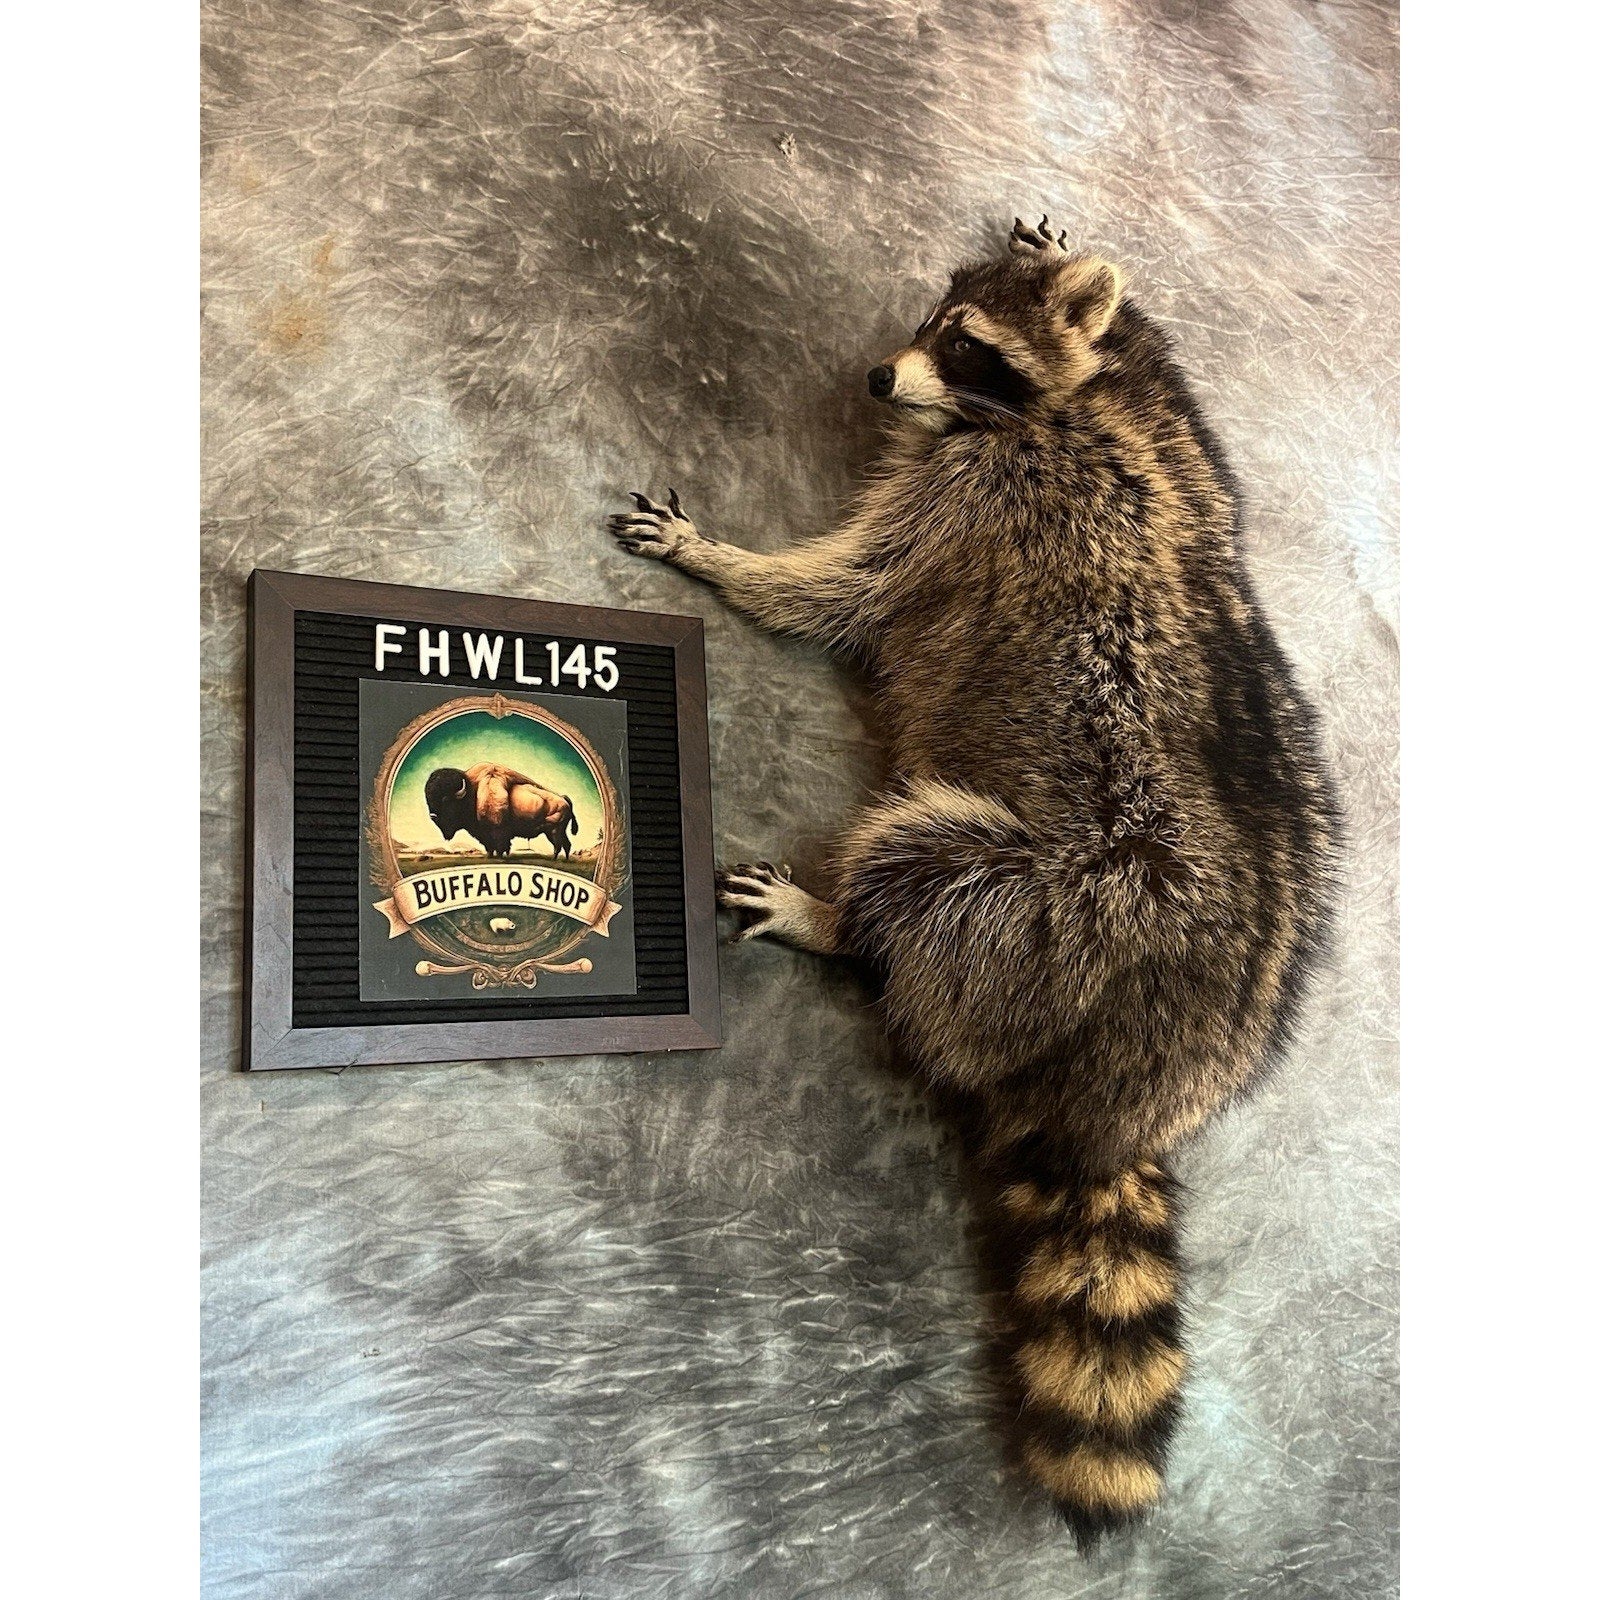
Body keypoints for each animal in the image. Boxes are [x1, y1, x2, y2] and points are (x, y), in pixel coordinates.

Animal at [607, 216, 1338, 1545]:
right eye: (931, 327)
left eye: (966, 349)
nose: (875, 381)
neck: (1046, 413)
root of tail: (1126, 1093)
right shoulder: (1176, 448)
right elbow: (1166, 384)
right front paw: (1073, 252)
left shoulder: (979, 497)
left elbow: (849, 583)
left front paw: (721, 557)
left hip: (1054, 906)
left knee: (922, 865)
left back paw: (839, 917)